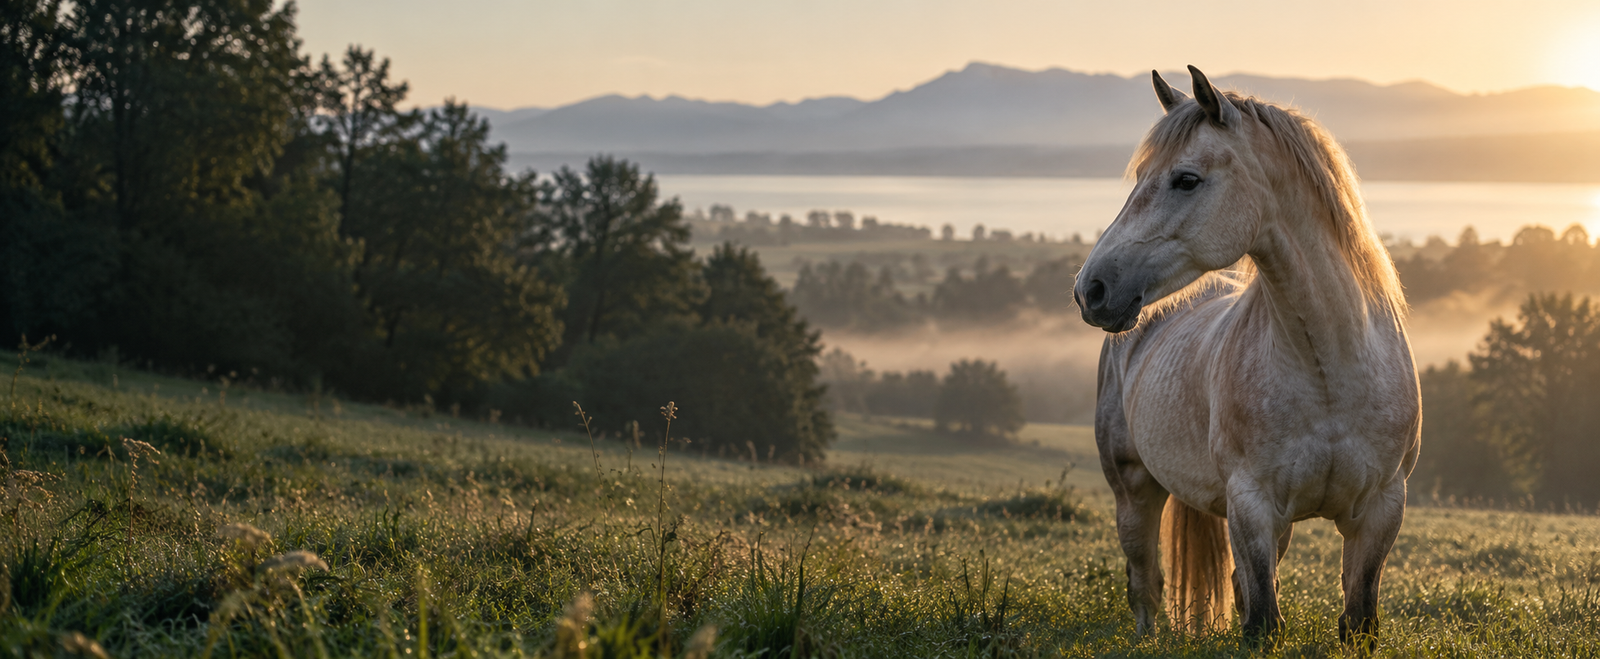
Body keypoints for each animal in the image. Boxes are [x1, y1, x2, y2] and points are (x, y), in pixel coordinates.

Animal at [1072, 66, 1420, 646]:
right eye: (1141, 174)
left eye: (1186, 179)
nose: (1091, 289)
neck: (1330, 371)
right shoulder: (1251, 505)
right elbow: (1261, 622)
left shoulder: (1380, 510)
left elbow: (1357, 619)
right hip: (1134, 491)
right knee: (1145, 584)